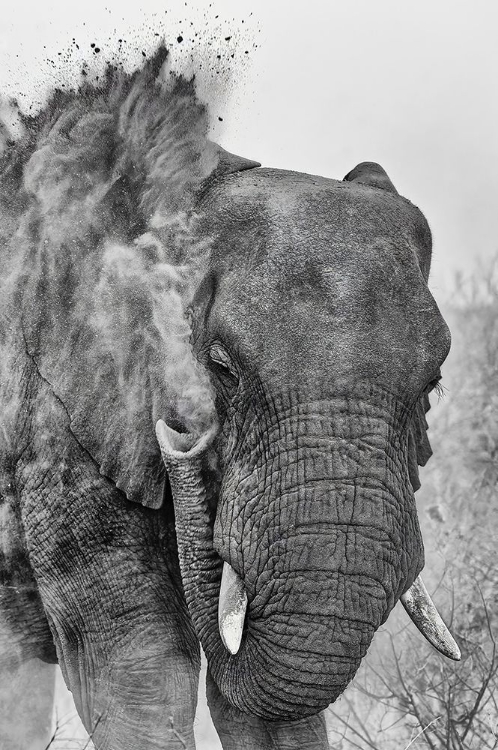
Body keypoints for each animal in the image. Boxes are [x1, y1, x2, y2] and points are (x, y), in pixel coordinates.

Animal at [0, 48, 460, 750]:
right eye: (221, 367)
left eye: (433, 383)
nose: (182, 435)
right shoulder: (56, 428)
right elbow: (140, 672)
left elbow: (264, 705)